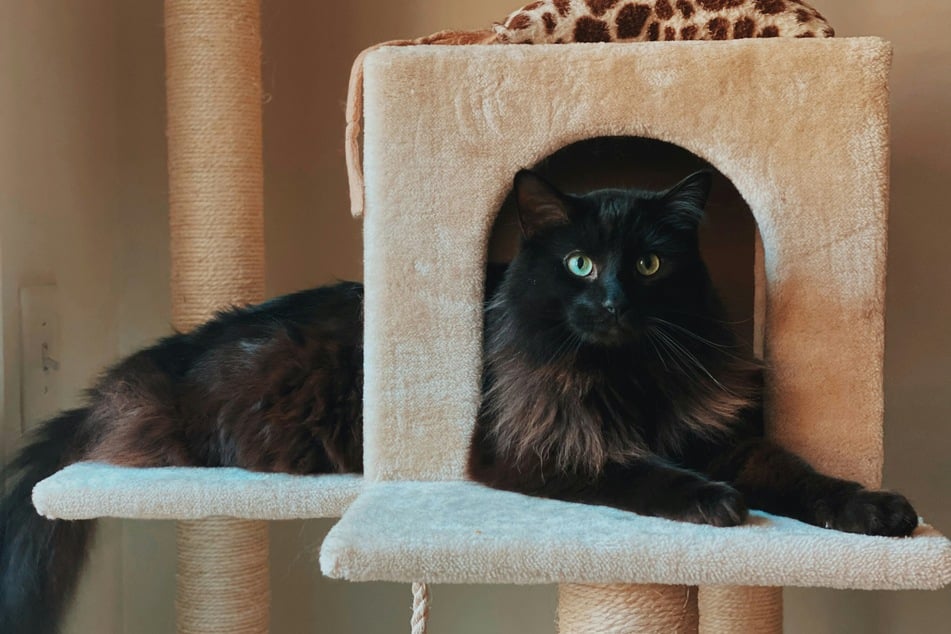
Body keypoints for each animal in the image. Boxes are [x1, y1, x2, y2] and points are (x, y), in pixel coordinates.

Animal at [1, 168, 924, 632]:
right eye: (580, 265)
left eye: (650, 265)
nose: (611, 302)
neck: (627, 377)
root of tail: (155, 364)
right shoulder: (542, 447)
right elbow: (642, 474)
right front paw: (711, 503)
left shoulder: (723, 435)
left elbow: (808, 478)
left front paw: (877, 511)